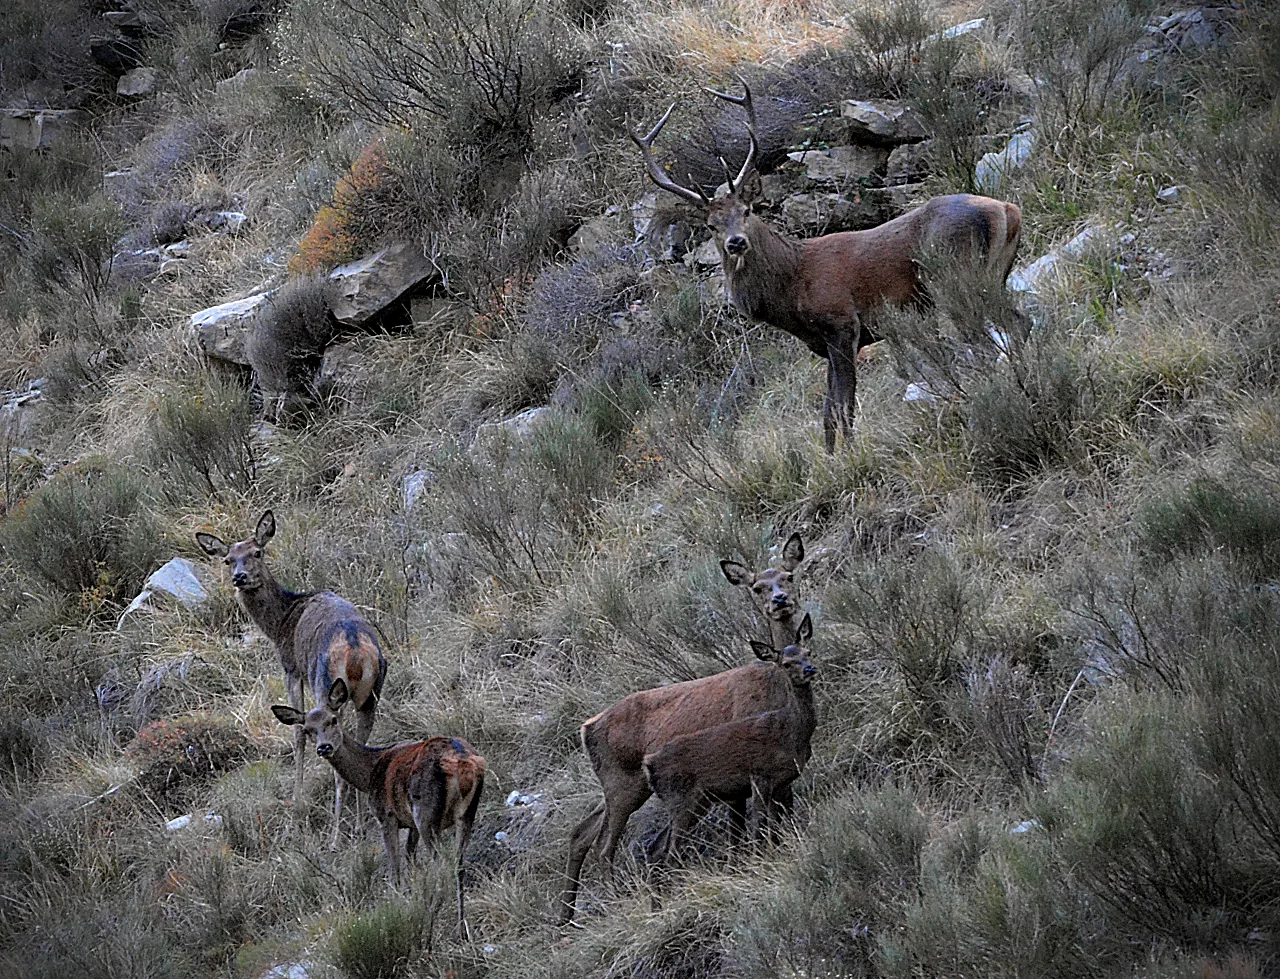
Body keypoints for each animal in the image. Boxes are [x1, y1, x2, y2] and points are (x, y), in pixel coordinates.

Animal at [196, 510, 388, 849]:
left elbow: (297, 733)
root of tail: (356, 652)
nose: (239, 577)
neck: (280, 623)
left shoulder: (291, 668)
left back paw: (336, 837)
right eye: (228, 559)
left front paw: (295, 805)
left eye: (257, 552)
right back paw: (359, 823)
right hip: (372, 695)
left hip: (325, 684)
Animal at [271, 679, 485, 931]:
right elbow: (410, 860)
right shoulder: (409, 822)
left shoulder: (387, 815)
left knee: (443, 864)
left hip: (426, 812)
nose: (324, 747)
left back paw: (438, 917)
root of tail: (463, 762)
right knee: (459, 864)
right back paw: (461, 928)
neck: (370, 772)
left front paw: (399, 907)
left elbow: (395, 871)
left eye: (333, 719)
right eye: (307, 730)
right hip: (466, 812)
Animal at [631, 81, 1024, 452]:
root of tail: (1005, 209)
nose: (736, 242)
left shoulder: (842, 324)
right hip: (994, 274)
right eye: (712, 225)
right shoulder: (824, 343)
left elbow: (844, 407)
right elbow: (827, 414)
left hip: (955, 275)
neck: (793, 288)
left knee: (984, 342)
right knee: (1018, 323)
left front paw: (852, 458)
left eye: (746, 211)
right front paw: (833, 459)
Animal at [643, 613, 817, 864]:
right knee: (671, 850)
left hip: (695, 801)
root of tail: (649, 765)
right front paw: (759, 856)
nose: (810, 669)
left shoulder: (782, 780)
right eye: (786, 663)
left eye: (808, 652)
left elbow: (779, 823)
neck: (790, 732)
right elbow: (759, 825)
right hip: (681, 798)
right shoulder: (759, 775)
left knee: (658, 847)